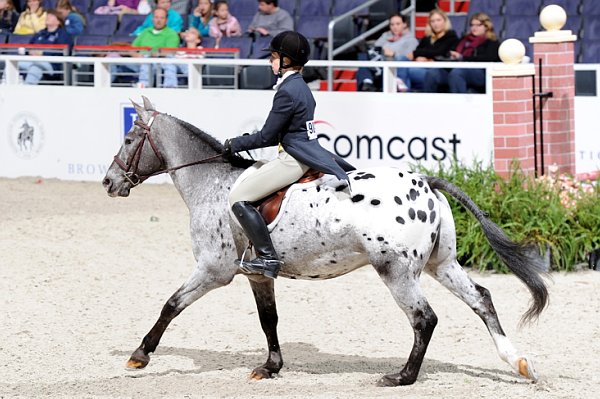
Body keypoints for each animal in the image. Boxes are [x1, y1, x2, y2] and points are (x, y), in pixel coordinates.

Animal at [103, 97, 548, 388]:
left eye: (129, 139)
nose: (109, 183)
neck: (211, 184)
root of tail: (426, 181)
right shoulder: (257, 275)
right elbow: (269, 319)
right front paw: (270, 366)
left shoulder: (214, 269)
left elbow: (171, 304)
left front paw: (140, 355)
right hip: (443, 264)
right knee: (481, 299)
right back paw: (518, 362)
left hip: (397, 271)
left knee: (425, 318)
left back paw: (401, 377)